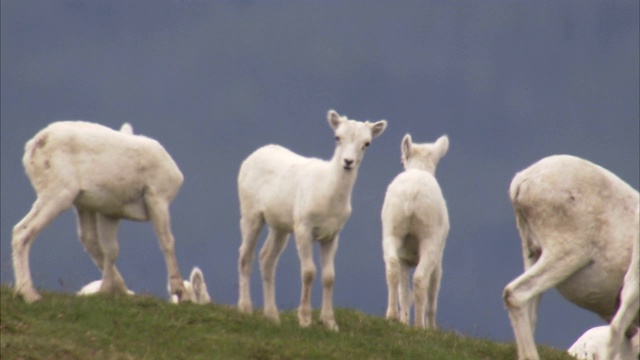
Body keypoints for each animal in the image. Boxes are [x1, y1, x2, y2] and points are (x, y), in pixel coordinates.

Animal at [11, 121, 188, 304]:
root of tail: (38, 142)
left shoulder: (109, 213)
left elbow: (111, 249)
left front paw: (109, 290)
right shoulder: (158, 200)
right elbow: (167, 241)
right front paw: (181, 292)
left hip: (82, 207)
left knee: (89, 241)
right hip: (58, 197)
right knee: (23, 232)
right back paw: (30, 294)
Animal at [235, 109, 384, 332]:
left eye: (367, 143)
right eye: (337, 137)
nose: (348, 162)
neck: (328, 196)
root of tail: (253, 155)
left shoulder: (332, 235)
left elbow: (329, 276)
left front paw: (330, 322)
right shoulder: (303, 228)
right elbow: (308, 272)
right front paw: (305, 319)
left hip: (280, 226)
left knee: (266, 258)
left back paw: (272, 316)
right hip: (251, 212)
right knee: (245, 255)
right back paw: (245, 308)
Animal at [380, 134, 450, 330]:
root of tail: (412, 197)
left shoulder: (404, 258)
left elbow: (404, 294)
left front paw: (404, 321)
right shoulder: (439, 262)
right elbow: (432, 297)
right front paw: (432, 328)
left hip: (391, 233)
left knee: (392, 267)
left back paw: (392, 316)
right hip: (429, 240)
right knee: (420, 279)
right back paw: (420, 326)